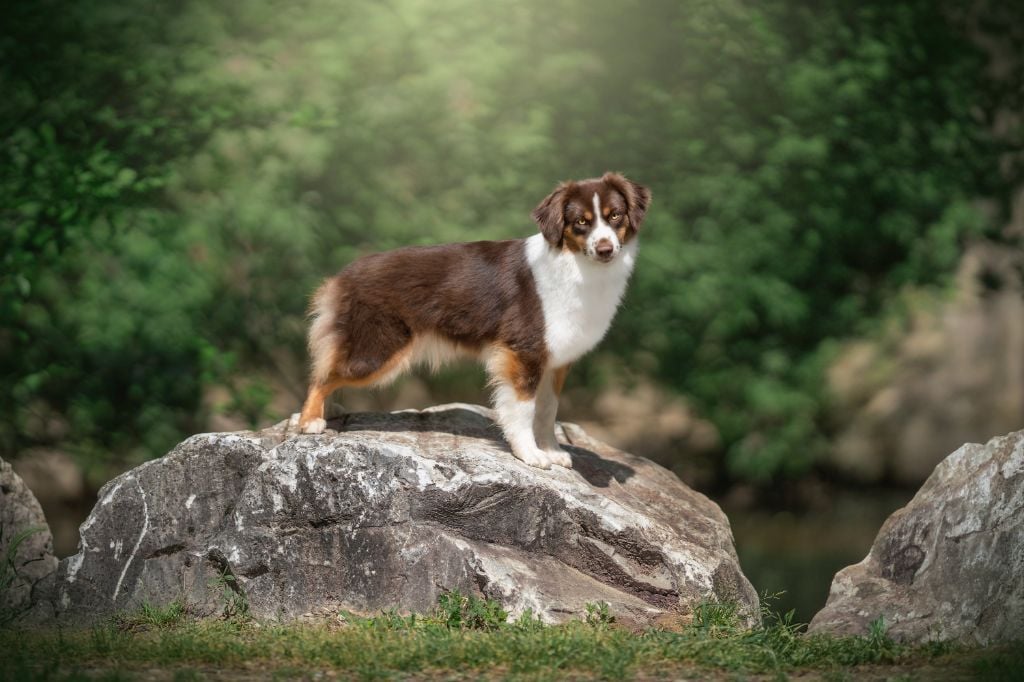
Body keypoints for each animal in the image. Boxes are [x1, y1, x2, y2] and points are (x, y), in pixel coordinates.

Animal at [296, 169, 651, 466]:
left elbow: (548, 409)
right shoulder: (523, 353)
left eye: (615, 215)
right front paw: (530, 454)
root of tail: (344, 275)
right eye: (581, 222)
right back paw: (310, 420)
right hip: (377, 352)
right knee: (322, 375)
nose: (605, 249)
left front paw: (551, 450)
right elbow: (524, 410)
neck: (575, 266)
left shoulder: (556, 360)